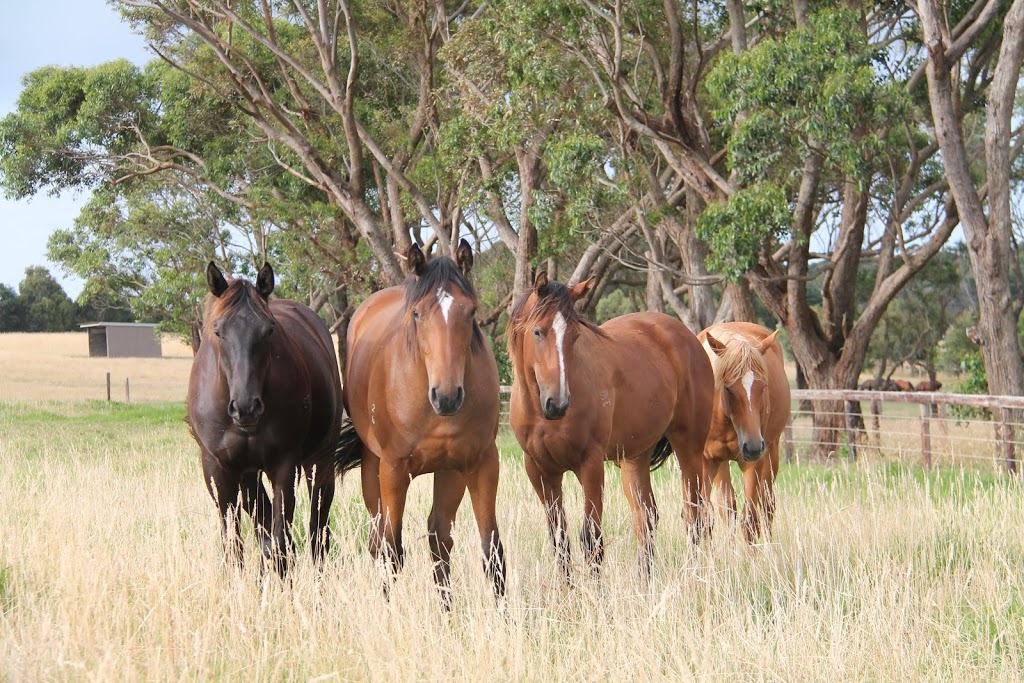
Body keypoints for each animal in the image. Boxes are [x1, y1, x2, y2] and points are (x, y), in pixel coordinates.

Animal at [189, 262, 356, 577]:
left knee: (317, 530)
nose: (245, 408)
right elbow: (236, 544)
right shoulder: (219, 469)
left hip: (319, 463)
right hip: (250, 475)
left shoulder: (284, 465)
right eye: (218, 331)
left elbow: (280, 540)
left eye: (268, 331)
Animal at [337, 241, 505, 610]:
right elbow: (392, 551)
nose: (447, 396)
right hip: (373, 468)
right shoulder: (394, 469)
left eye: (470, 312)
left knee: (438, 537)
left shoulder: (480, 464)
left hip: (448, 472)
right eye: (417, 314)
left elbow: (491, 552)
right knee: (379, 540)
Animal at [507, 272, 716, 577]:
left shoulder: (590, 465)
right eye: (537, 331)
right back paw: (645, 578)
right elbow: (560, 540)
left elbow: (591, 540)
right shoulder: (540, 471)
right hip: (634, 456)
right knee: (646, 516)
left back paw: (693, 573)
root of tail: (689, 338)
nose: (558, 403)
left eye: (575, 335)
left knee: (694, 513)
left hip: (688, 447)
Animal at [696, 323, 790, 540]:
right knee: (727, 507)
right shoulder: (706, 461)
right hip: (721, 462)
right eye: (728, 389)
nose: (753, 447)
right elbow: (705, 518)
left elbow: (750, 521)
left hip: (771, 454)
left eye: (763, 386)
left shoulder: (754, 463)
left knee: (767, 506)